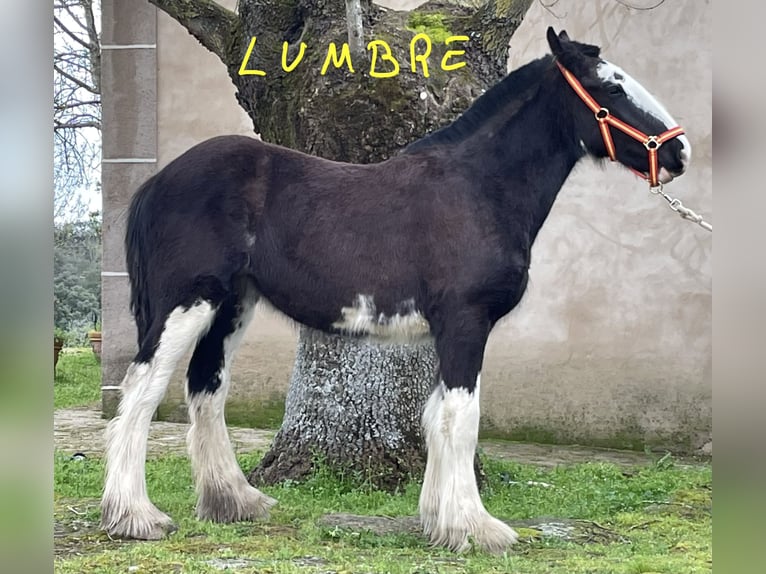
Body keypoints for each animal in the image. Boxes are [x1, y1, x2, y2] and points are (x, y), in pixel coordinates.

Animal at [100, 27, 691, 553]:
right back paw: (137, 517)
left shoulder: (447, 332)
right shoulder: (466, 323)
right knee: (143, 391)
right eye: (610, 87)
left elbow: (435, 418)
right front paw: (476, 529)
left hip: (231, 307)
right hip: (187, 303)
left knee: (206, 389)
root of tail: (158, 182)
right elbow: (462, 419)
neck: (478, 189)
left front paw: (441, 522)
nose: (680, 152)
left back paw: (235, 502)